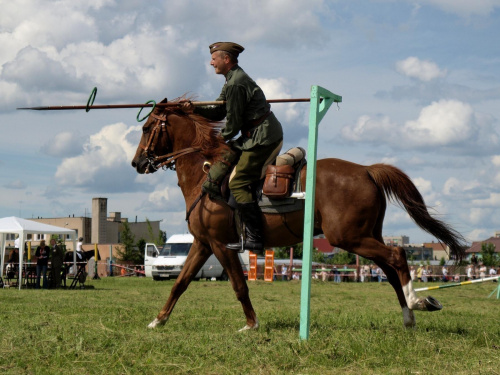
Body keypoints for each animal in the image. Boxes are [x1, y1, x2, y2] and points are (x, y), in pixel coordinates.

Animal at [130, 100, 464, 332]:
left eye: (146, 129)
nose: (137, 163)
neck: (206, 172)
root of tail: (367, 170)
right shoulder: (202, 244)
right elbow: (180, 283)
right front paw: (157, 321)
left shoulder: (221, 245)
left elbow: (239, 286)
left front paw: (251, 324)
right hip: (366, 236)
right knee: (391, 269)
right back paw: (409, 317)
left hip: (349, 237)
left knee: (397, 256)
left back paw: (417, 302)